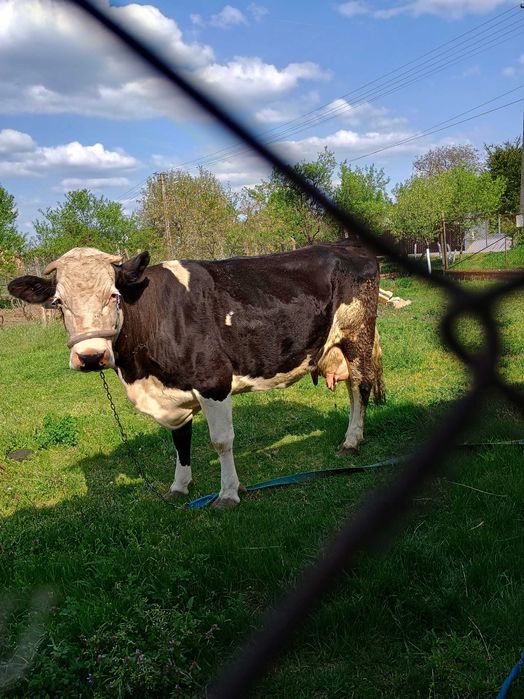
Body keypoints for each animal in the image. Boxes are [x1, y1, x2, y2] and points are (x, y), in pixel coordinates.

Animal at [8, 240, 385, 508]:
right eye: (58, 303)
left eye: (114, 295)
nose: (90, 356)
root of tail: (345, 246)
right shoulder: (171, 393)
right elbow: (180, 441)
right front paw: (179, 486)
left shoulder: (213, 382)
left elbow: (221, 441)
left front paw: (228, 494)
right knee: (353, 387)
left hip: (357, 333)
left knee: (360, 386)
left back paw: (351, 441)